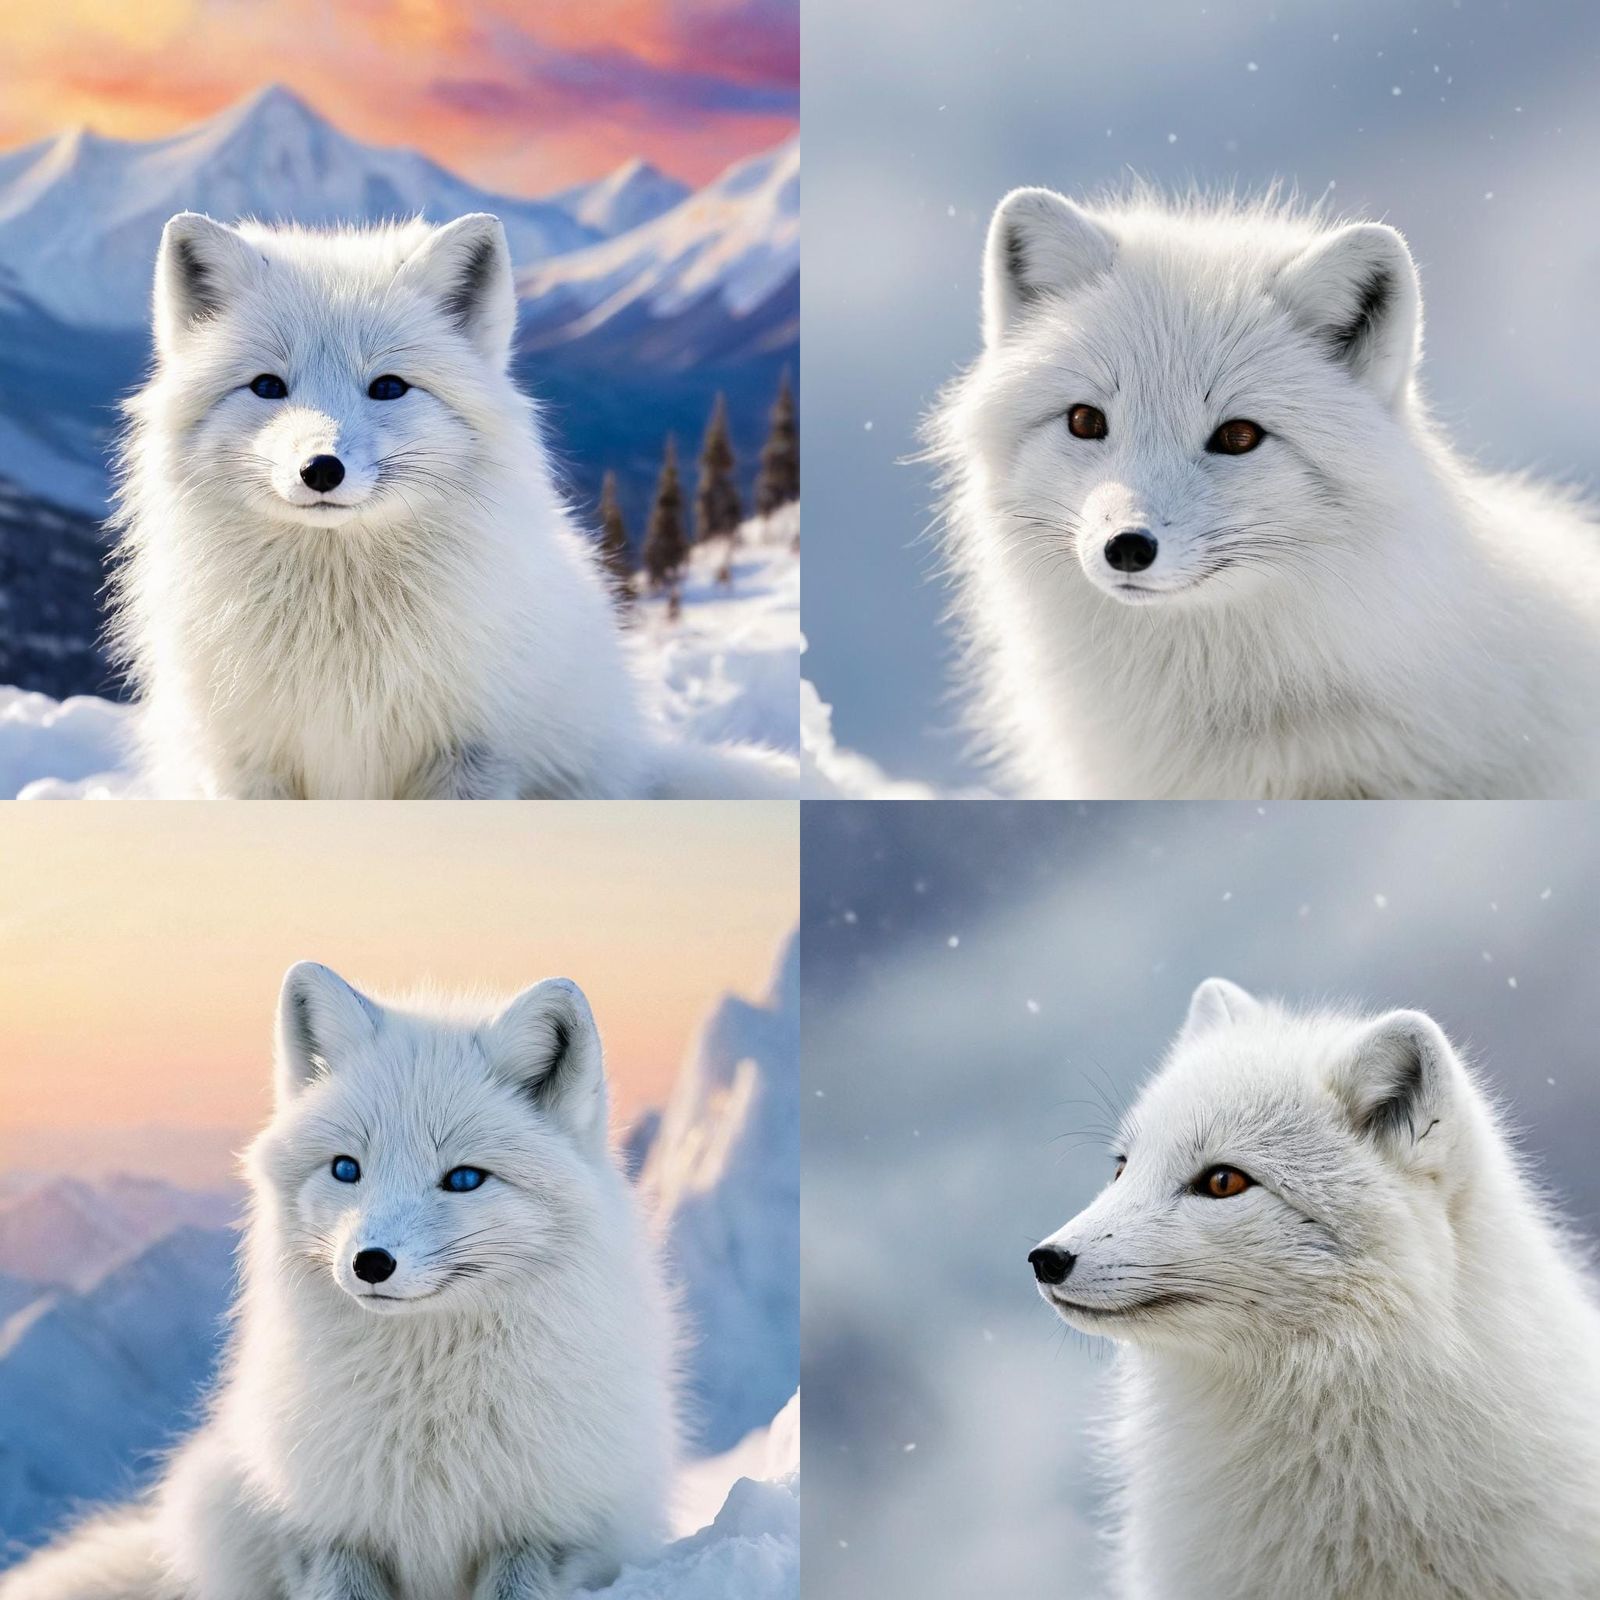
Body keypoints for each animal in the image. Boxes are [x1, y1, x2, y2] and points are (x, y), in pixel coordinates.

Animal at [1, 962, 678, 1600]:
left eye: (464, 1179)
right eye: (347, 1169)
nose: (370, 1263)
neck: (427, 1409)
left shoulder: (545, 1535)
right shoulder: (325, 1535)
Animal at [108, 212, 796, 800]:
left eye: (388, 387)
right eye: (268, 386)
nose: (321, 469)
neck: (343, 632)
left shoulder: (472, 753)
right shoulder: (247, 761)